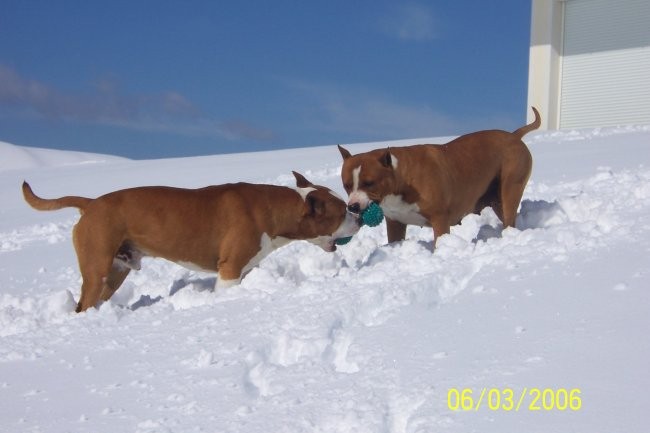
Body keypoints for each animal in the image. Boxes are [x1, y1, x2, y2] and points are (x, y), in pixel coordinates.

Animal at [22, 171, 360, 310]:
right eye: (341, 211)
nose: (358, 215)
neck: (275, 209)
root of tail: (91, 203)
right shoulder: (229, 271)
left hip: (116, 272)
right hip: (97, 269)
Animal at [336, 106, 540, 245]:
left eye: (369, 183)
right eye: (346, 185)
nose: (352, 206)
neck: (401, 180)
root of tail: (514, 136)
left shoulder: (440, 219)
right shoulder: (395, 223)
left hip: (510, 188)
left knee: (510, 216)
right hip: (496, 199)